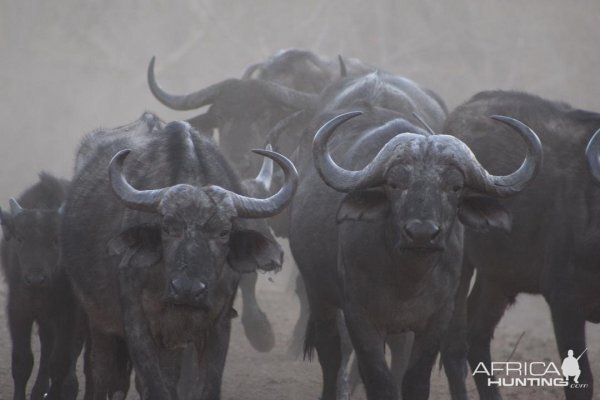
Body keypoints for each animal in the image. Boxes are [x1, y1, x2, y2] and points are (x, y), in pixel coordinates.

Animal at [0, 173, 85, 400]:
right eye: (20, 238)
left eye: (55, 240)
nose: (35, 279)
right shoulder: (18, 309)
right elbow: (22, 361)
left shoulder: (68, 313)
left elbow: (60, 362)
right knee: (47, 345)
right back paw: (39, 390)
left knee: (74, 351)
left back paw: (69, 389)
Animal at [61, 113, 298, 400]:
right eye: (167, 227)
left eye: (224, 232)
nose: (187, 290)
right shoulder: (137, 324)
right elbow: (154, 386)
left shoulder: (217, 325)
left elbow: (206, 387)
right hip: (98, 321)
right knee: (101, 372)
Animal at [288, 73, 544, 398]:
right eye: (395, 184)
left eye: (455, 186)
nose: (422, 234)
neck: (407, 278)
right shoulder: (360, 317)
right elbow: (378, 380)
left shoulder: (437, 319)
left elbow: (415, 380)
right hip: (318, 293)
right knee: (331, 353)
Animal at [442, 90, 600, 400]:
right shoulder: (564, 299)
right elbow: (581, 382)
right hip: (462, 268)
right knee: (453, 344)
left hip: (498, 278)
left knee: (477, 335)